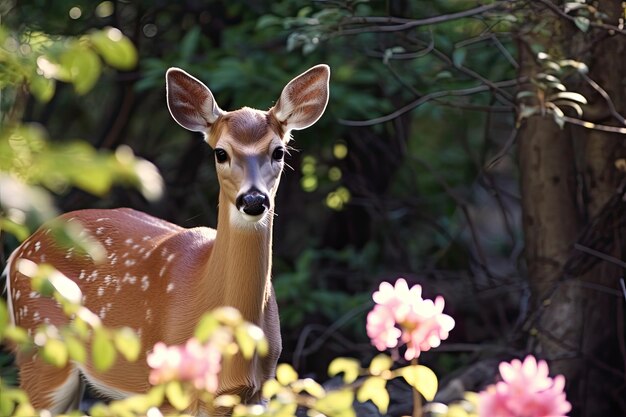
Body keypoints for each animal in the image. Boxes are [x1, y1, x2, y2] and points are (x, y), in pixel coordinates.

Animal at [4, 63, 332, 414]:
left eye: (279, 152)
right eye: (221, 153)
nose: (254, 200)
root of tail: (18, 252)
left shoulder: (257, 392)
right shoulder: (169, 390)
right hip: (40, 351)